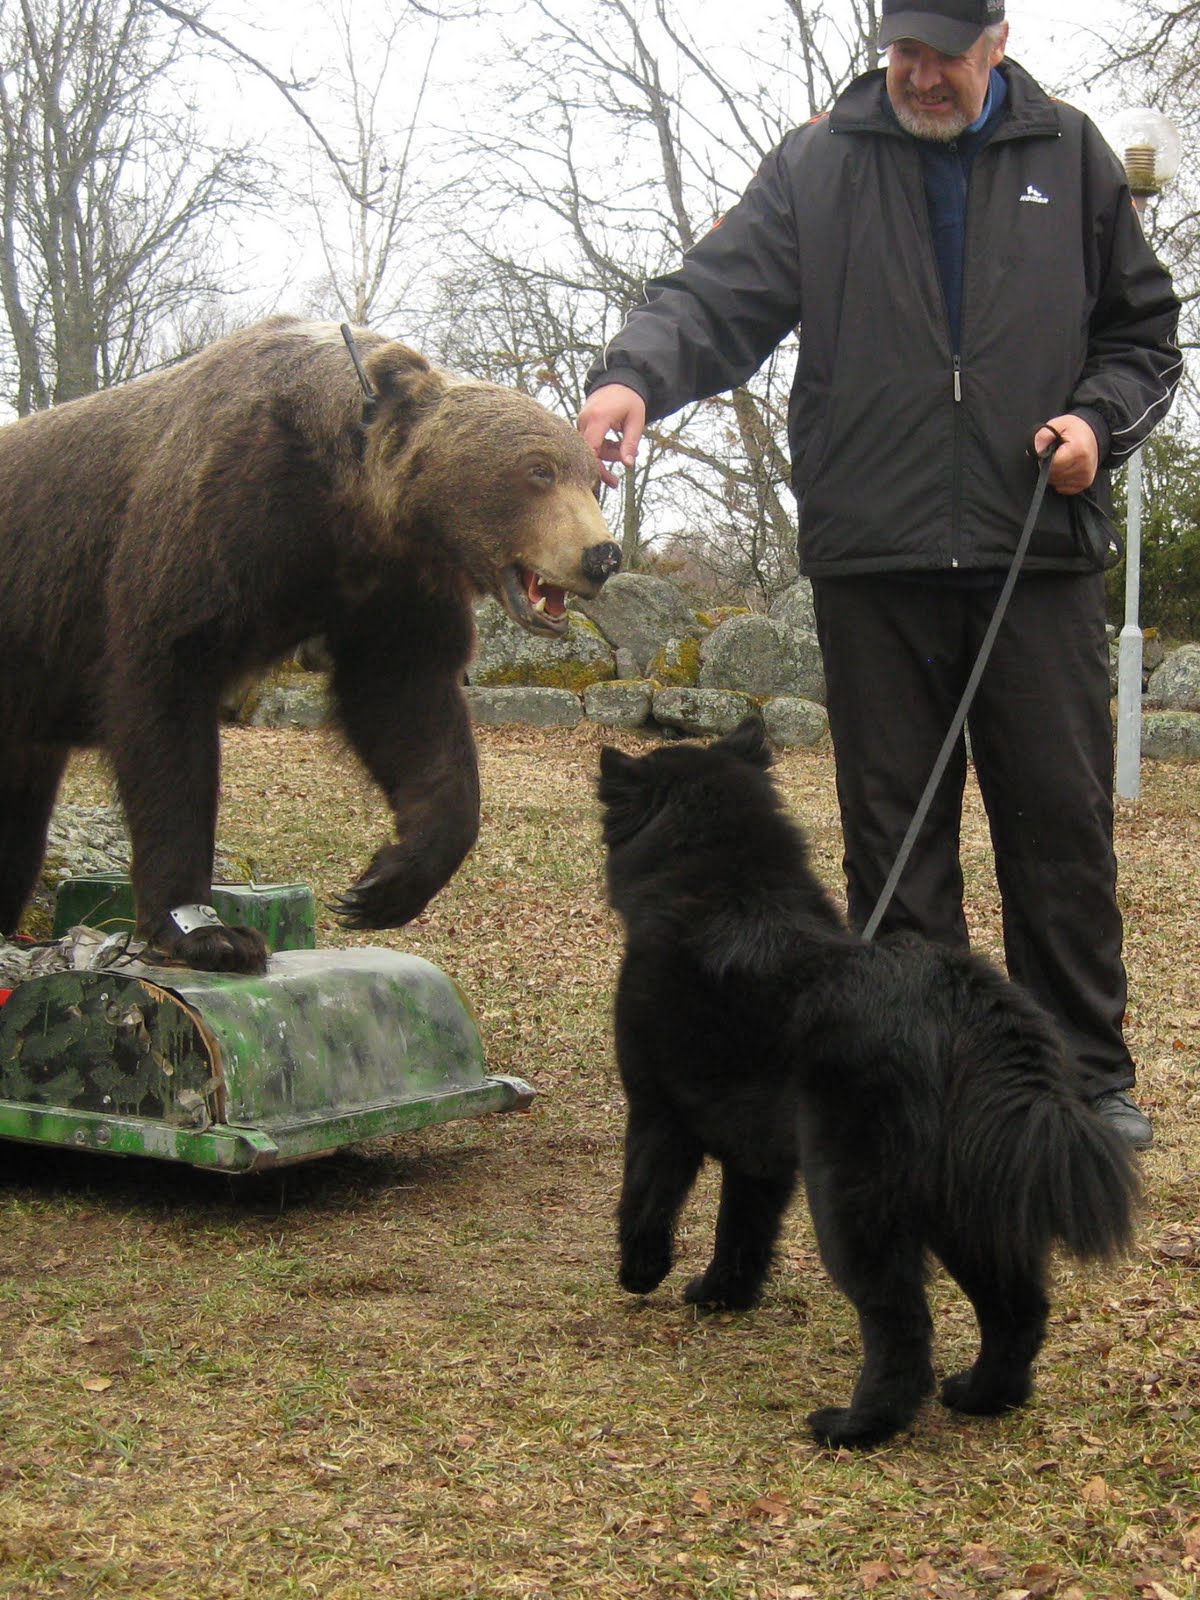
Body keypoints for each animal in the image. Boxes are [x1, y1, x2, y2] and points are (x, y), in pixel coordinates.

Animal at [0, 316, 621, 974]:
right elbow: (167, 715)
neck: (344, 513)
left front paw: (385, 884)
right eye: (538, 469)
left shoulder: (390, 590)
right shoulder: (210, 530)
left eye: (592, 478)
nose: (601, 555)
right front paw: (205, 929)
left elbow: (408, 708)